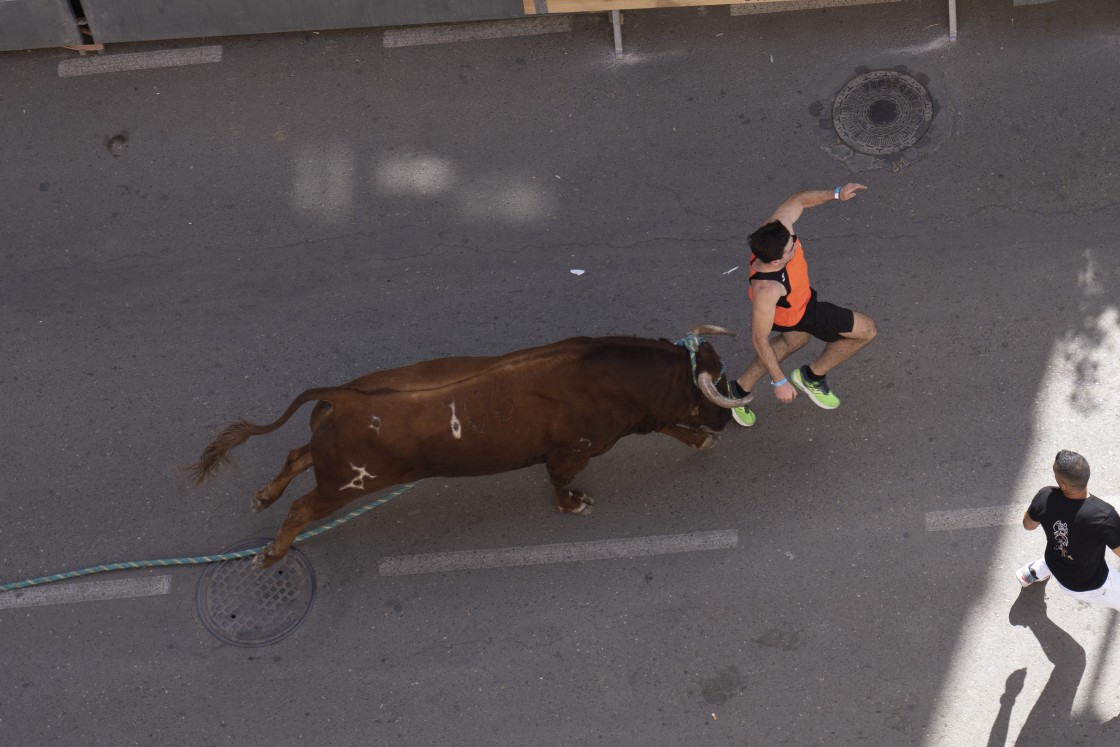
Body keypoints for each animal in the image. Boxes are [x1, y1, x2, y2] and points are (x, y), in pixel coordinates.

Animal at [185, 324, 752, 566]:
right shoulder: (573, 450)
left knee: (296, 456)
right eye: (715, 385)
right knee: (303, 507)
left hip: (332, 466)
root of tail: (344, 394)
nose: (734, 412)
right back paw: (271, 554)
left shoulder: (640, 421)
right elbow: (561, 482)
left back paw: (263, 497)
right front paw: (575, 505)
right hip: (345, 485)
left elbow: (670, 430)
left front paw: (699, 442)